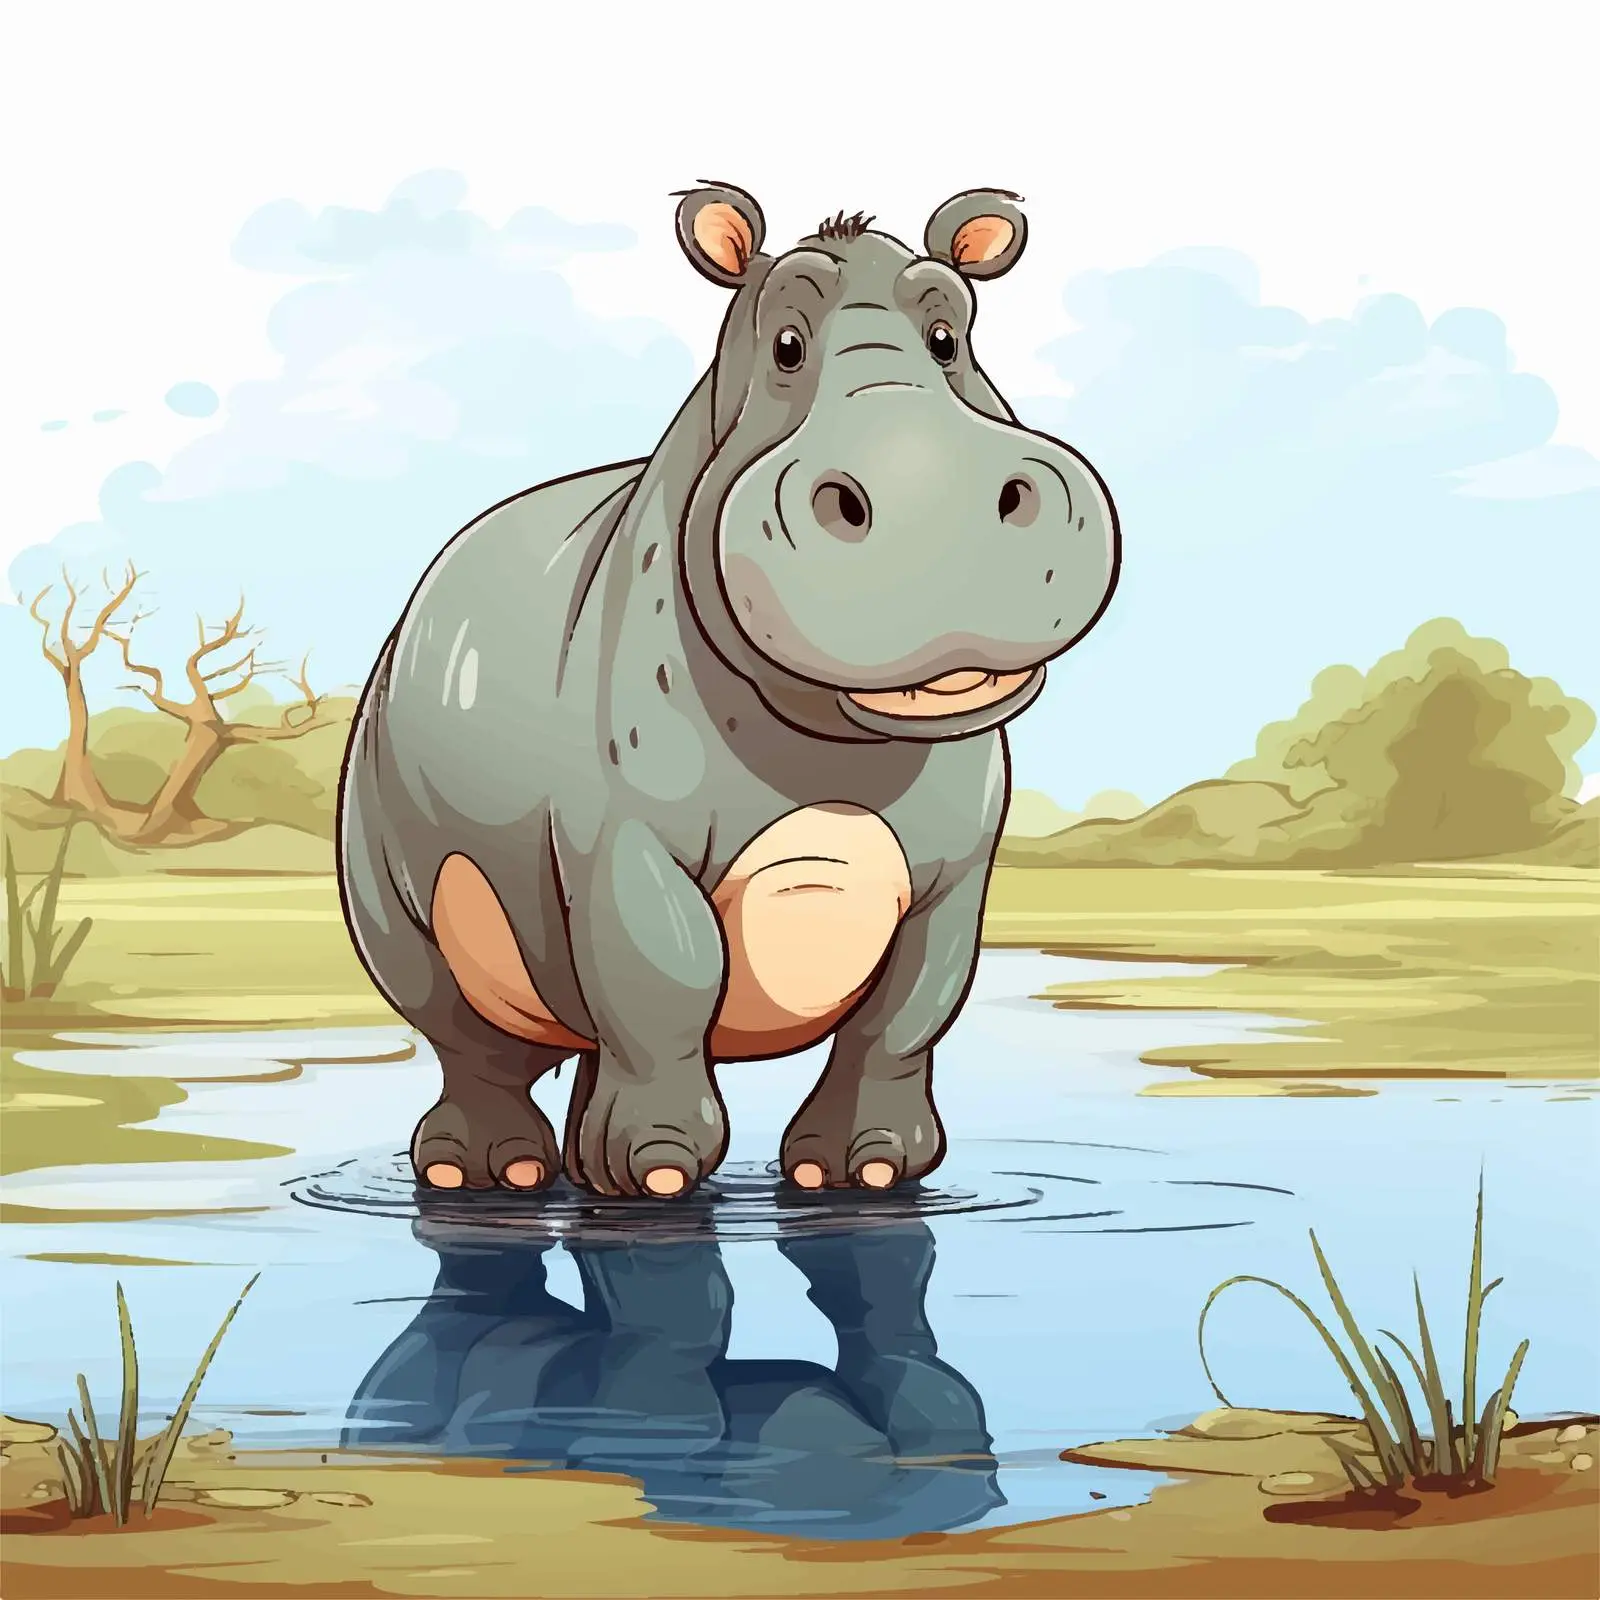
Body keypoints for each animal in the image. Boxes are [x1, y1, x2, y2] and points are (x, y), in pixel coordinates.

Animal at [337, 182, 1119, 1201]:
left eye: (950, 333)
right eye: (784, 342)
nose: (930, 497)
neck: (834, 754)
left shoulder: (954, 878)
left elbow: (906, 1014)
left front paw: (865, 1174)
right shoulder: (626, 841)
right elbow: (669, 977)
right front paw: (664, 1177)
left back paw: (587, 1170)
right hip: (387, 865)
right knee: (465, 1031)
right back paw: (493, 1174)